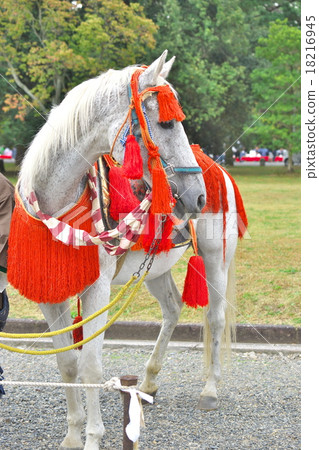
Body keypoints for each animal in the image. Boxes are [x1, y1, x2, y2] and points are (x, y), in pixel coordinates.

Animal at [15, 51, 240, 446]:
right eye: (166, 123)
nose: (197, 195)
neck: (55, 205)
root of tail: (214, 167)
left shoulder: (97, 288)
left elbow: (90, 365)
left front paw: (93, 437)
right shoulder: (49, 292)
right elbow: (66, 363)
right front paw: (72, 434)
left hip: (216, 258)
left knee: (214, 317)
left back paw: (210, 390)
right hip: (156, 268)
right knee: (172, 308)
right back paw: (148, 381)